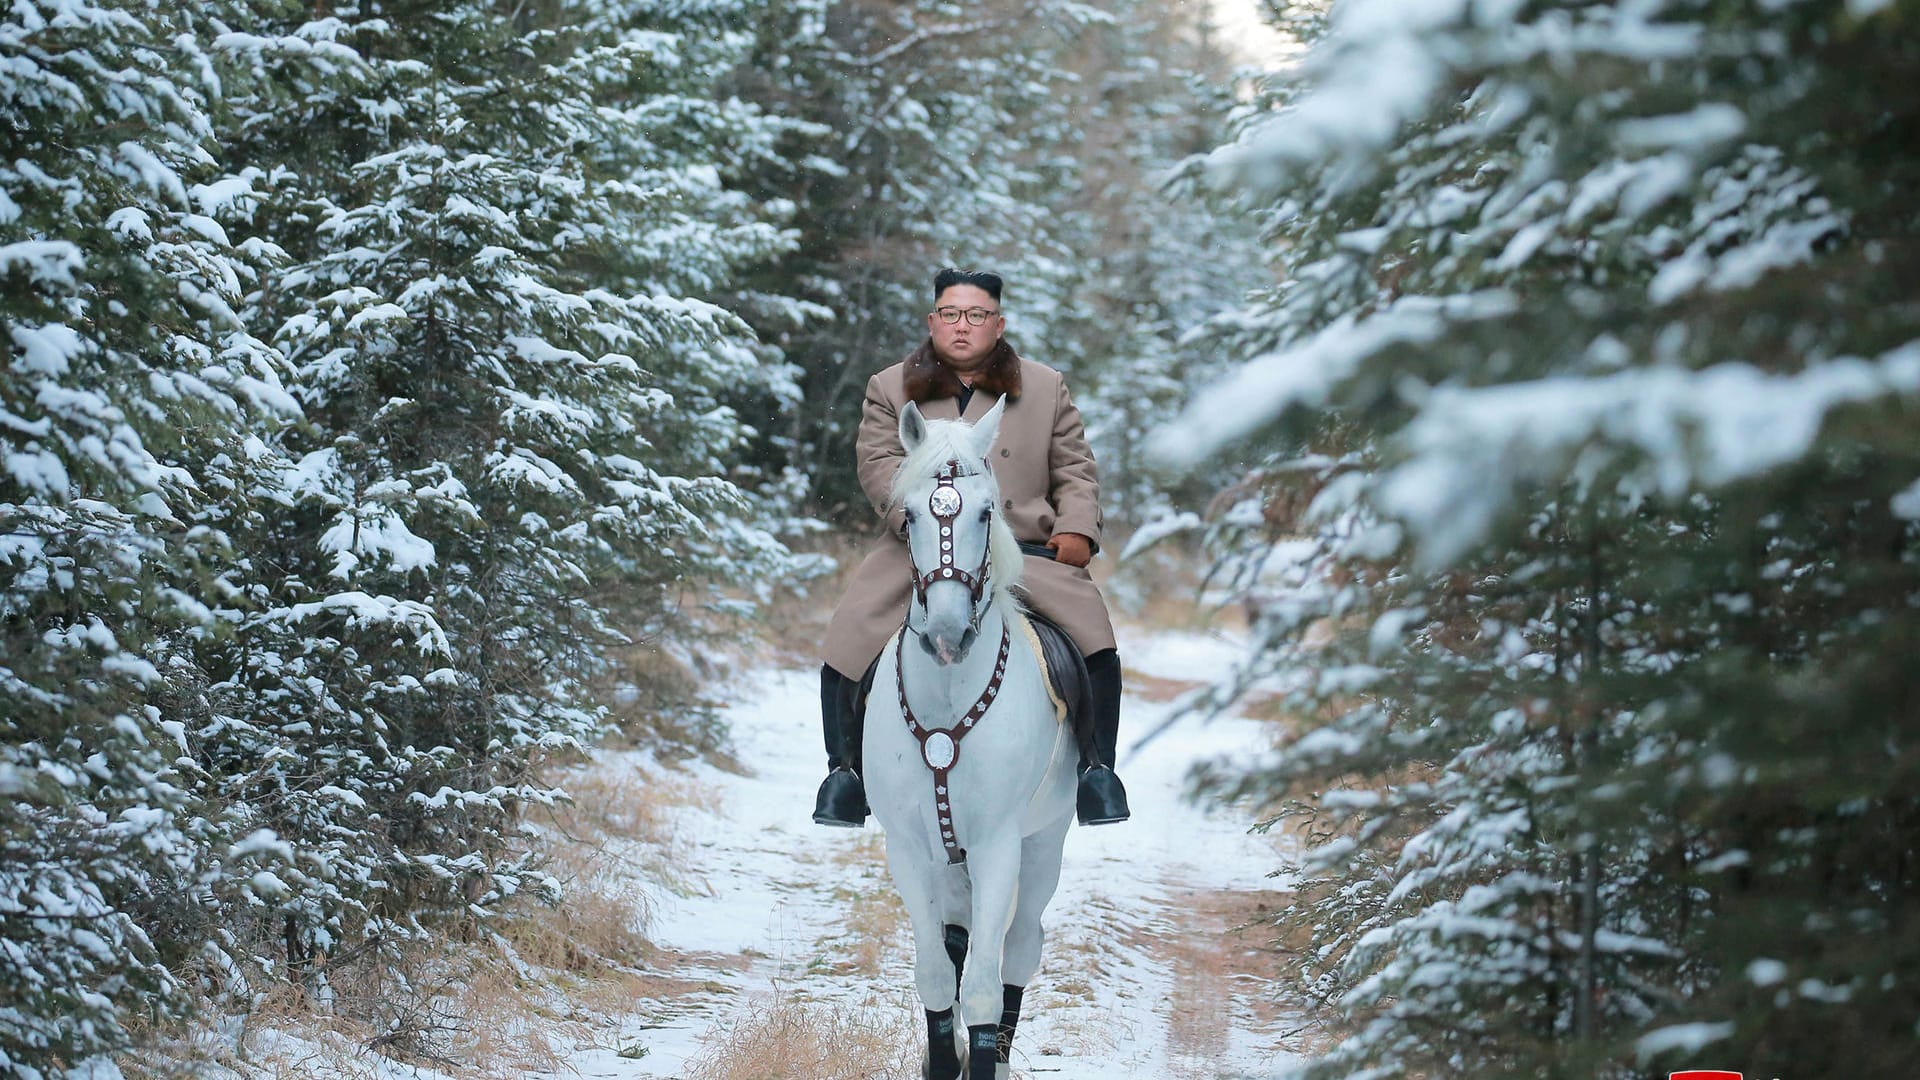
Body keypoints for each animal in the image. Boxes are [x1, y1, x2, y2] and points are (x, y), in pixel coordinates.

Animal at [867, 397, 1082, 1076]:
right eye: (908, 514)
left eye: (987, 512)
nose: (947, 635)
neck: (948, 695)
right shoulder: (909, 849)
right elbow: (938, 972)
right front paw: (944, 1056)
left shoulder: (997, 847)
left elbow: (986, 984)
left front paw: (982, 1055)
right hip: (948, 857)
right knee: (957, 939)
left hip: (1043, 846)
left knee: (1020, 948)